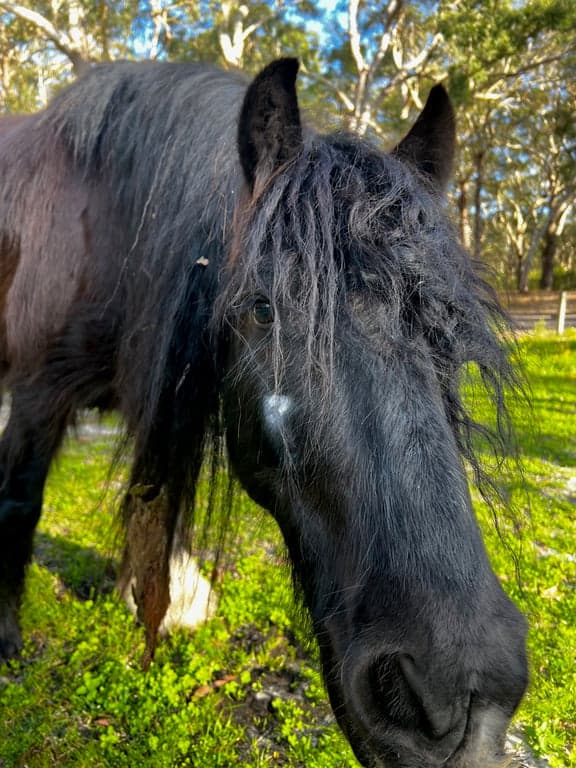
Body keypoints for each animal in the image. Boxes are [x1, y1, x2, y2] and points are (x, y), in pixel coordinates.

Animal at [0, 58, 527, 768]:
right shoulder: (36, 397)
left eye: (448, 327)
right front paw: (8, 637)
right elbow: (20, 507)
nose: (461, 700)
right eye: (262, 308)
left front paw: (155, 595)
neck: (104, 223)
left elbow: (150, 501)